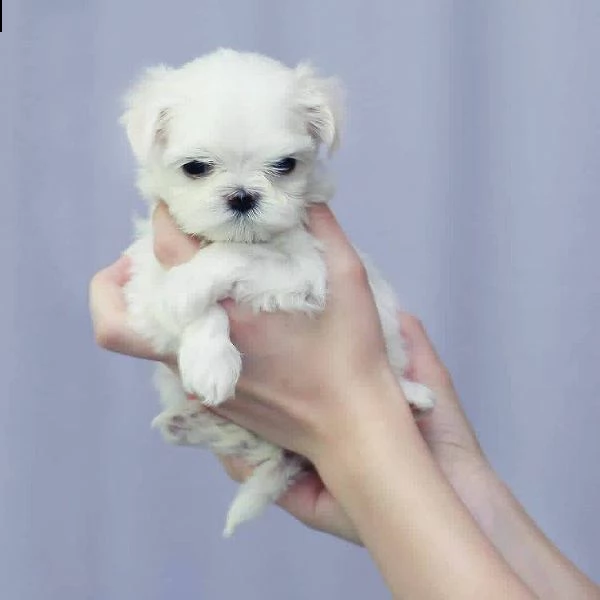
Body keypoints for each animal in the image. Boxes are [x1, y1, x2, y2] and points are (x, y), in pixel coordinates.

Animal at [120, 49, 436, 536]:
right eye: (196, 168)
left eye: (285, 165)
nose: (242, 196)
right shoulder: (145, 278)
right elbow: (186, 307)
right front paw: (209, 358)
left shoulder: (306, 271)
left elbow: (234, 254)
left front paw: (190, 285)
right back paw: (191, 423)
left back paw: (412, 396)